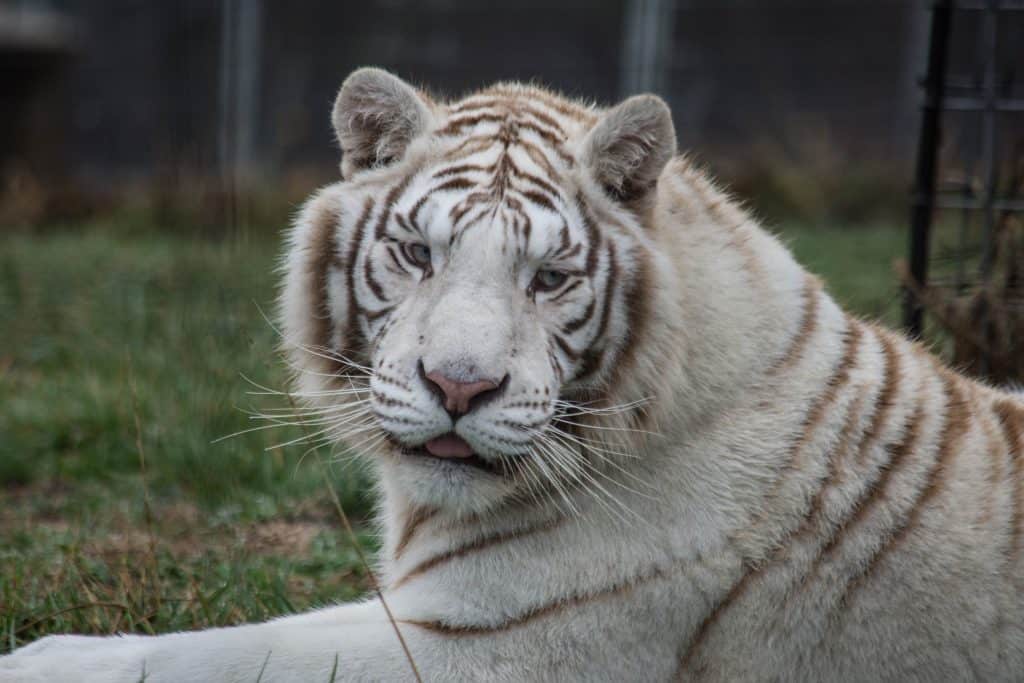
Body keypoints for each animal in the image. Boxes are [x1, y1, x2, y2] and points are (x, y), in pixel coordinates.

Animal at [6, 65, 1024, 683]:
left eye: (550, 278)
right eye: (417, 252)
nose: (459, 387)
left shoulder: (497, 645)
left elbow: (228, 654)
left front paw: (36, 661)